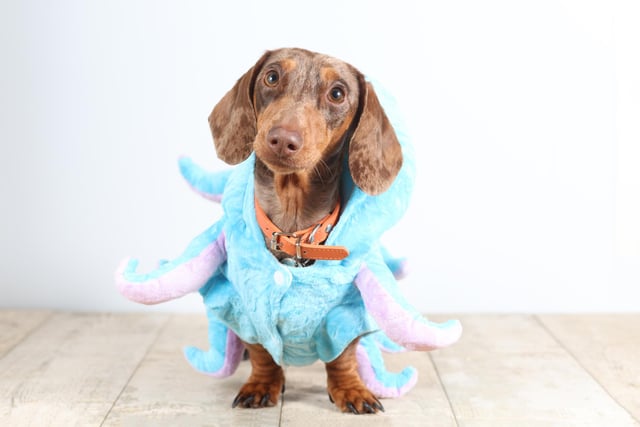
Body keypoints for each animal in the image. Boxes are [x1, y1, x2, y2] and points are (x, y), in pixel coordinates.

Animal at [208, 46, 402, 414]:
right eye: (271, 76)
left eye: (337, 93)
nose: (282, 139)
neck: (295, 232)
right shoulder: (249, 308)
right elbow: (262, 352)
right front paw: (262, 384)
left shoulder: (347, 311)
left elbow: (343, 356)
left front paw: (351, 390)